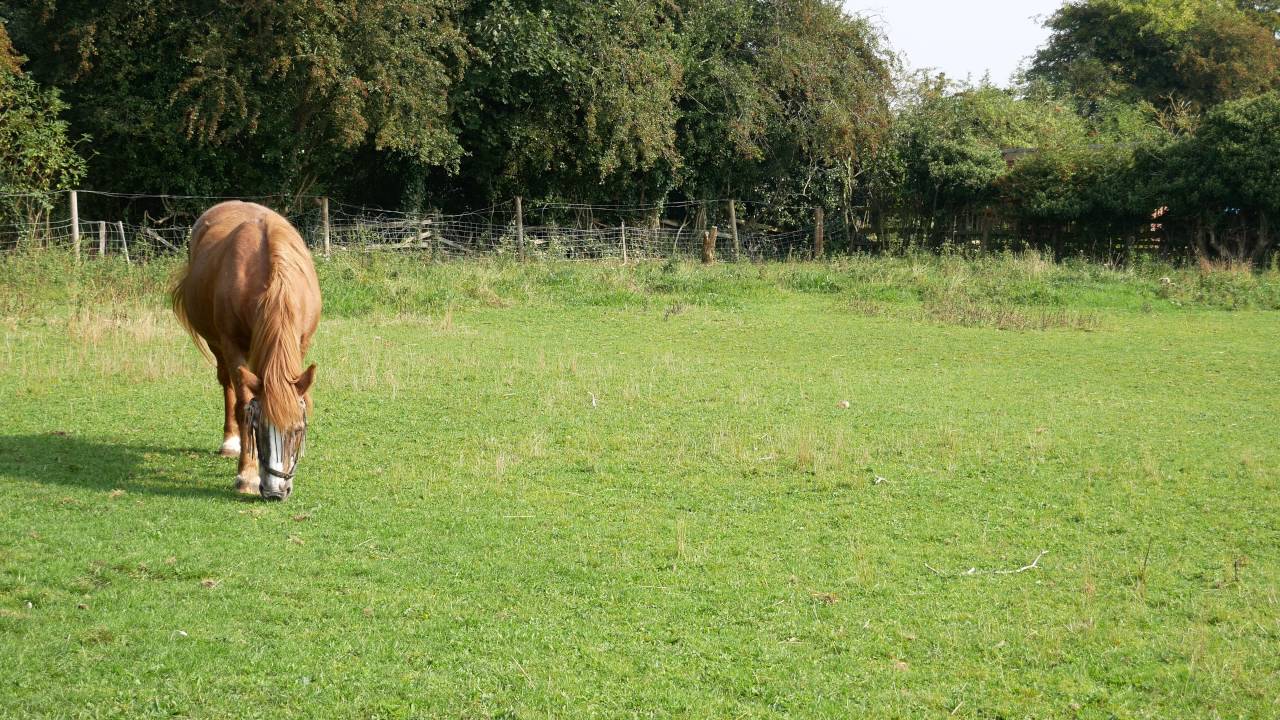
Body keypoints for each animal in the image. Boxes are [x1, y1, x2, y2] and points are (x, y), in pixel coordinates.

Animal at [171, 201, 321, 500]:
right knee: (227, 384)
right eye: (257, 429)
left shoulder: (301, 343)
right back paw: (230, 442)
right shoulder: (231, 345)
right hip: (218, 346)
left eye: (298, 430)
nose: (275, 492)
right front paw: (246, 475)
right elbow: (243, 405)